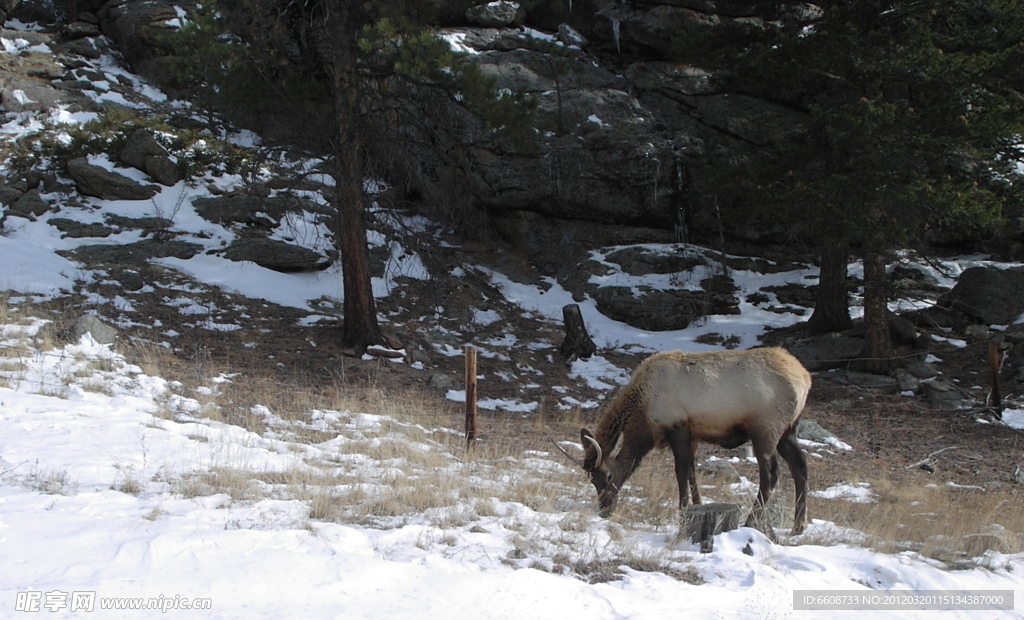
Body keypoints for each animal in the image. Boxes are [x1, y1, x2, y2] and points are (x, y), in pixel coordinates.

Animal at [561, 348, 806, 532]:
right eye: (592, 480)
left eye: (609, 475)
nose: (605, 509)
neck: (645, 415)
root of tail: (806, 379)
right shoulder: (693, 433)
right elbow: (691, 471)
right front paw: (698, 505)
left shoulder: (677, 426)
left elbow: (680, 473)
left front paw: (683, 513)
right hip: (788, 430)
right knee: (800, 466)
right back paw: (798, 527)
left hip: (765, 428)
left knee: (771, 473)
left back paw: (751, 521)